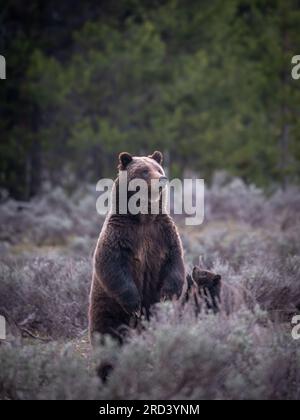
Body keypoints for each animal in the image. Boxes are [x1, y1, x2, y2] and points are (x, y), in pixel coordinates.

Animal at [88, 153, 185, 342]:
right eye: (144, 171)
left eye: (159, 169)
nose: (162, 179)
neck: (144, 219)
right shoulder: (120, 234)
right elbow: (112, 265)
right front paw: (134, 305)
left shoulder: (163, 233)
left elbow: (175, 262)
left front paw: (166, 295)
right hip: (105, 304)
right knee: (106, 328)